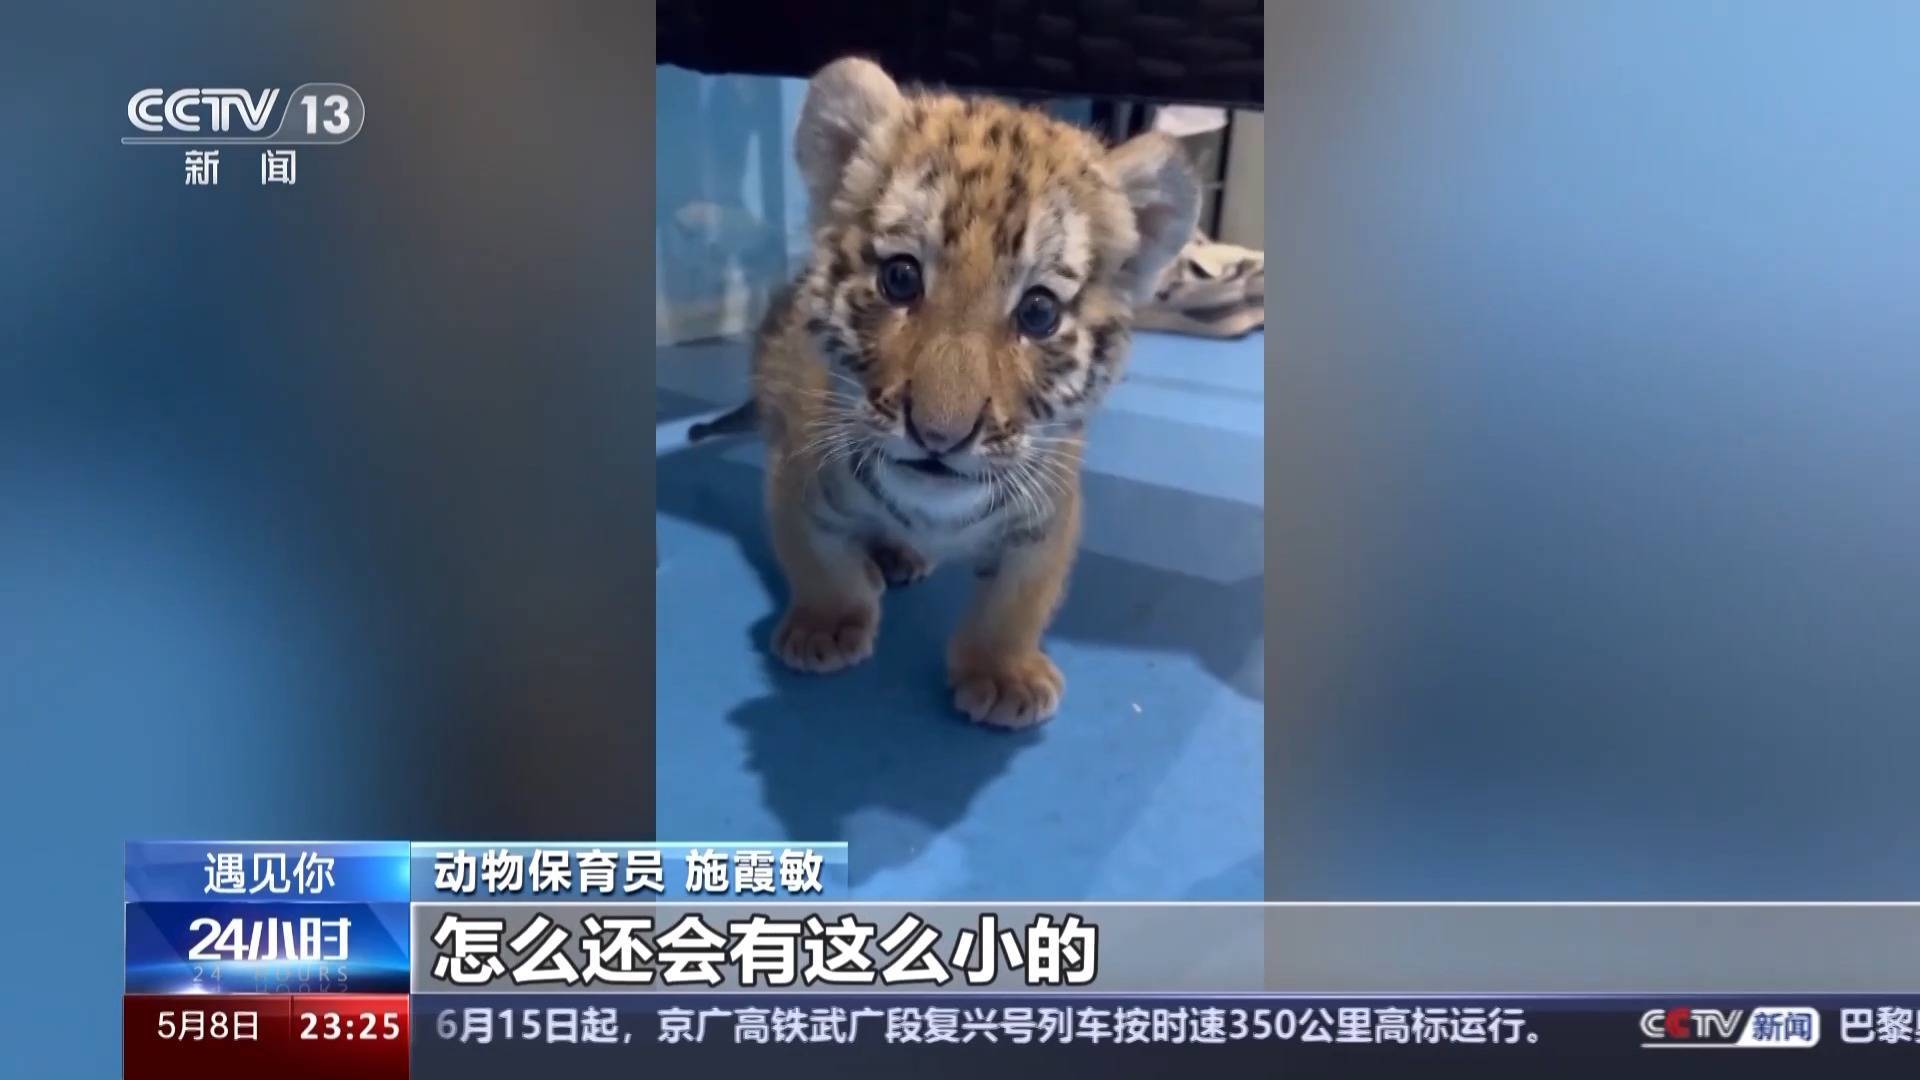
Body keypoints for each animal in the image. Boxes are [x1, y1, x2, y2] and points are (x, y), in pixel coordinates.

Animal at [694, 56, 1199, 728]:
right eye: (900, 277)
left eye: (1039, 312)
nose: (938, 434)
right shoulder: (797, 473)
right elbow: (818, 561)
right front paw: (827, 627)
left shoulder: (1050, 512)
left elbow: (1019, 600)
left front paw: (1004, 674)